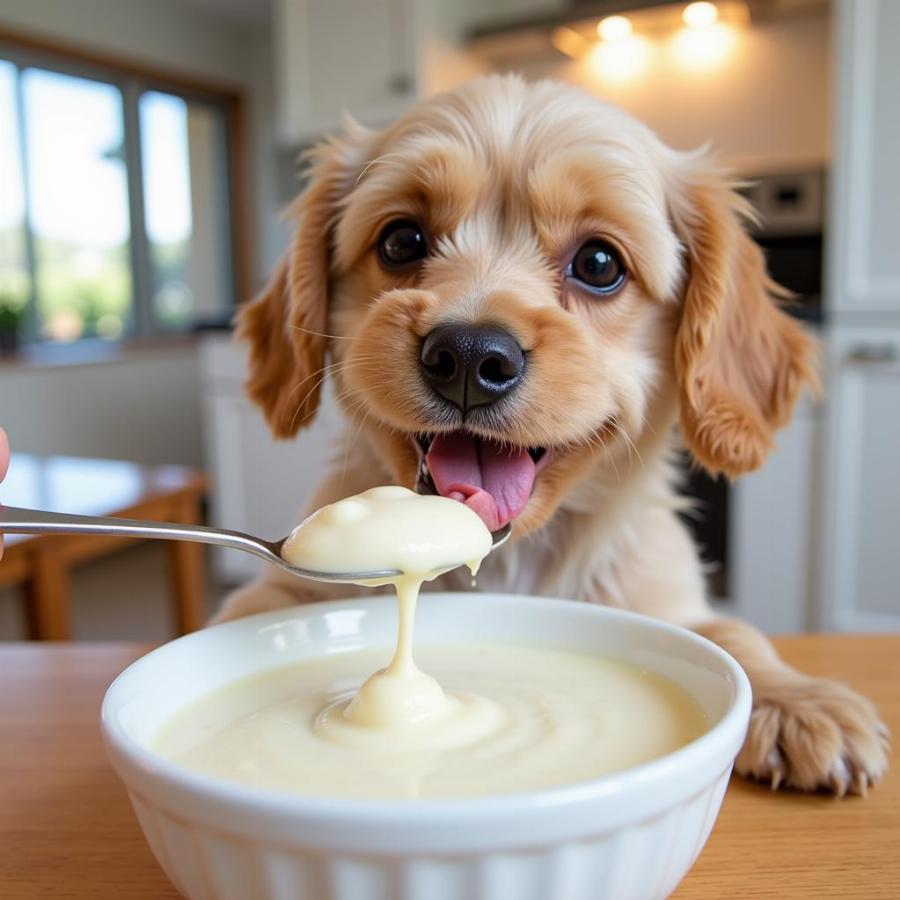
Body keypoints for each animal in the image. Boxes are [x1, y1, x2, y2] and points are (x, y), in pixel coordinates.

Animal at [214, 75, 888, 796]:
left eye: (598, 263)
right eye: (401, 242)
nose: (468, 355)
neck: (508, 560)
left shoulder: (664, 596)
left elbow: (731, 630)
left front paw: (801, 700)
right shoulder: (285, 590)